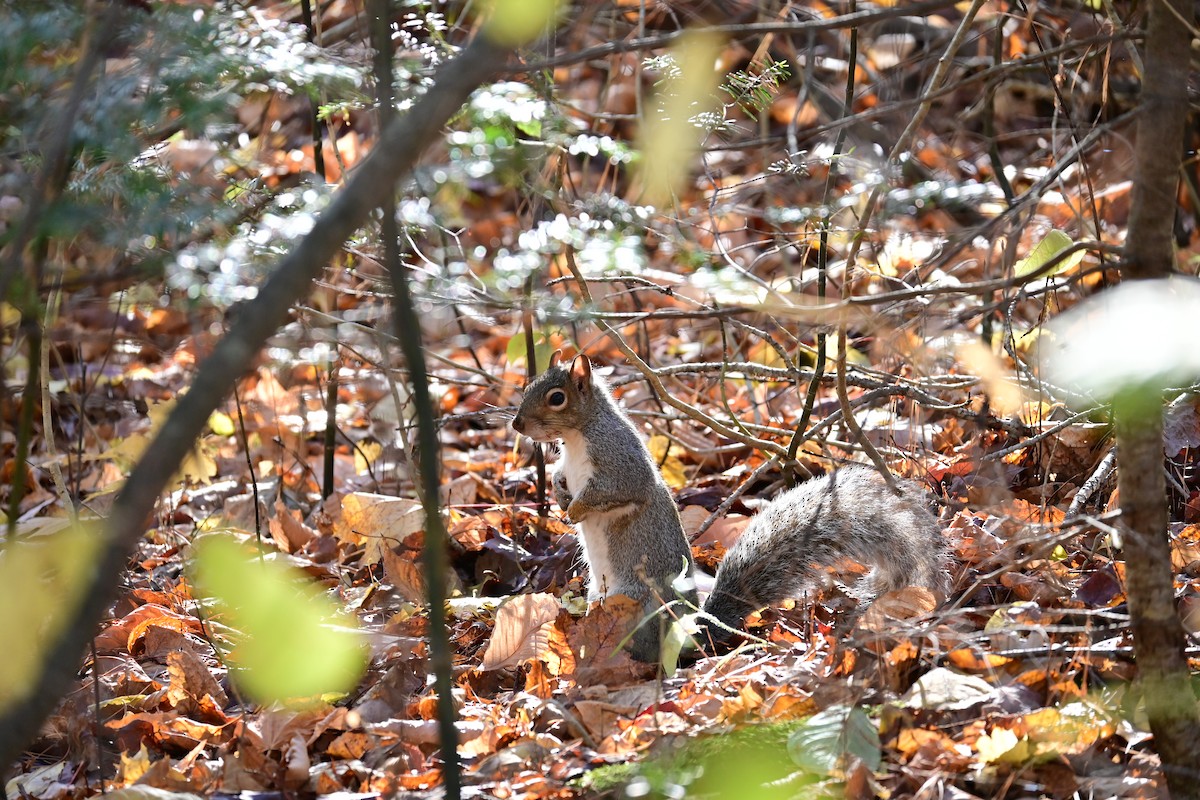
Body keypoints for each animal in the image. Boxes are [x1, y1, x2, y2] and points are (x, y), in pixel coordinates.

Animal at [512, 352, 945, 660]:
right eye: (529, 387)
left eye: (556, 398)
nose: (517, 425)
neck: (577, 437)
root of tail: (689, 639)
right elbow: (560, 477)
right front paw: (561, 496)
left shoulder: (620, 461)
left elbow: (616, 491)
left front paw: (575, 510)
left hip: (635, 602)